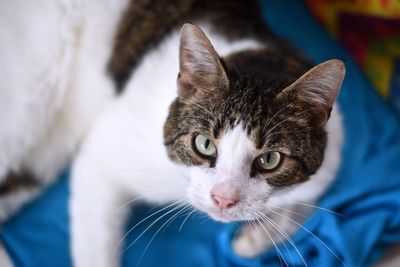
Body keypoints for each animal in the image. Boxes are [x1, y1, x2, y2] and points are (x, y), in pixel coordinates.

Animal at [0, 1, 344, 266]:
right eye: (204, 144)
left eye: (270, 160)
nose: (223, 200)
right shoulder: (103, 158)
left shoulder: (333, 153)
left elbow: (308, 201)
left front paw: (257, 237)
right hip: (36, 91)